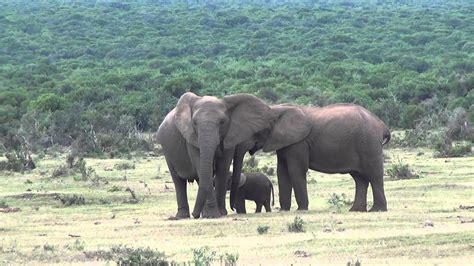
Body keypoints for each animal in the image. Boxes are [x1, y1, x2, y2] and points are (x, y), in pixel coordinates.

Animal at [254, 103, 390, 212]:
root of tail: (383, 125)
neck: (278, 109)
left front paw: (301, 210)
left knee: (374, 175)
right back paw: (355, 210)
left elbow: (296, 170)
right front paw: (284, 210)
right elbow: (282, 171)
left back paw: (377, 210)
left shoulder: (299, 143)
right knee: (360, 179)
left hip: (369, 143)